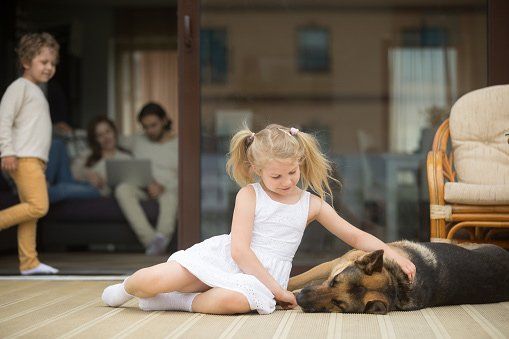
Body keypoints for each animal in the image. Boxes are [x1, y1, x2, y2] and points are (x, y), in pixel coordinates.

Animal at [288, 242, 508, 316]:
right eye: (334, 281)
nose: (300, 300)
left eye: (338, 304)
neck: (396, 283)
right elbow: (298, 278)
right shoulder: (332, 264)